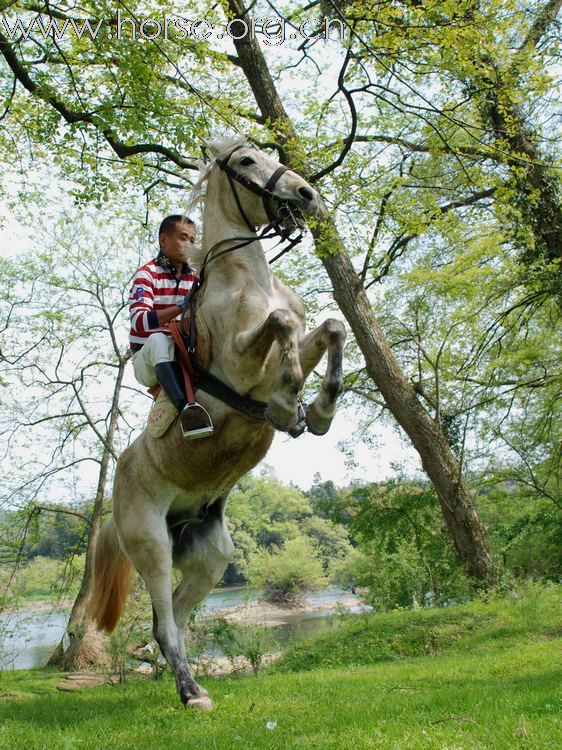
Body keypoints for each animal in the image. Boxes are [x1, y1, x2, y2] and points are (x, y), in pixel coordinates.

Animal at [89, 137, 344, 712]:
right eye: (247, 161)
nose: (306, 194)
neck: (248, 279)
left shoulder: (298, 340)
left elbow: (331, 326)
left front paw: (316, 411)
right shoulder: (245, 368)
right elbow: (284, 327)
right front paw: (291, 399)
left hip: (209, 557)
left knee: (176, 622)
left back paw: (182, 682)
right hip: (151, 544)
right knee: (165, 623)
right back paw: (191, 695)